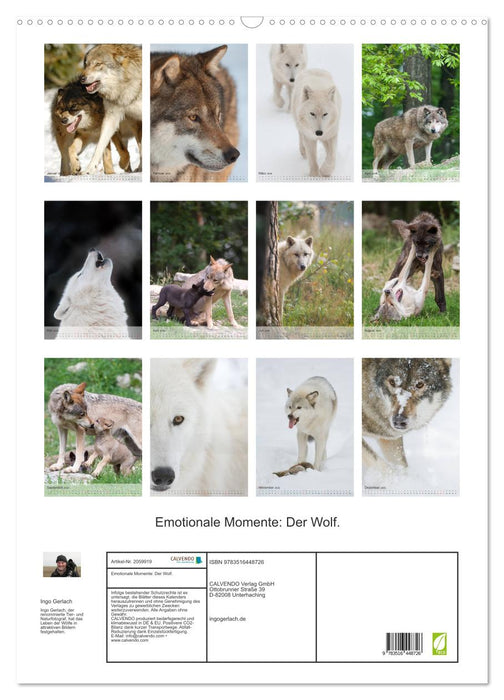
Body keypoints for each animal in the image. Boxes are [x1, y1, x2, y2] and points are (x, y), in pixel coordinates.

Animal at [79, 44, 142, 174]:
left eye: (98, 64)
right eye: (86, 64)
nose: (81, 78)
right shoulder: (111, 116)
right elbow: (100, 145)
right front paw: (89, 169)